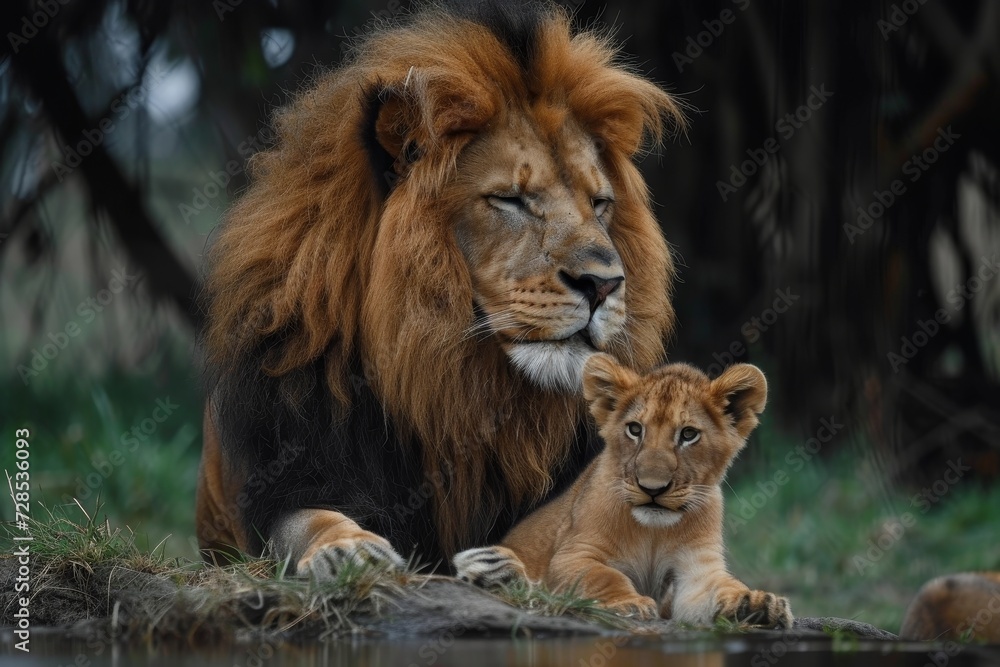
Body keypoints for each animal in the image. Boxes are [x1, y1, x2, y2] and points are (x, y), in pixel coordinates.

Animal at [195, 0, 684, 576]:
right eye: (510, 199)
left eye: (600, 204)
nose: (604, 284)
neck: (454, 385)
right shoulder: (289, 480)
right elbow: (309, 520)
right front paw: (349, 549)